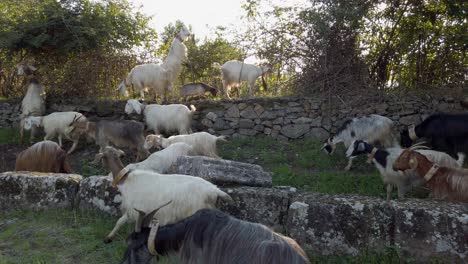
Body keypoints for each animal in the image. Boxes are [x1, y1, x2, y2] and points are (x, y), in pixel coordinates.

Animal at [92, 146, 231, 243]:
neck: (125, 180)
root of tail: (214, 190)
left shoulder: (136, 207)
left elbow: (122, 222)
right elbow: (120, 221)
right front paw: (109, 237)